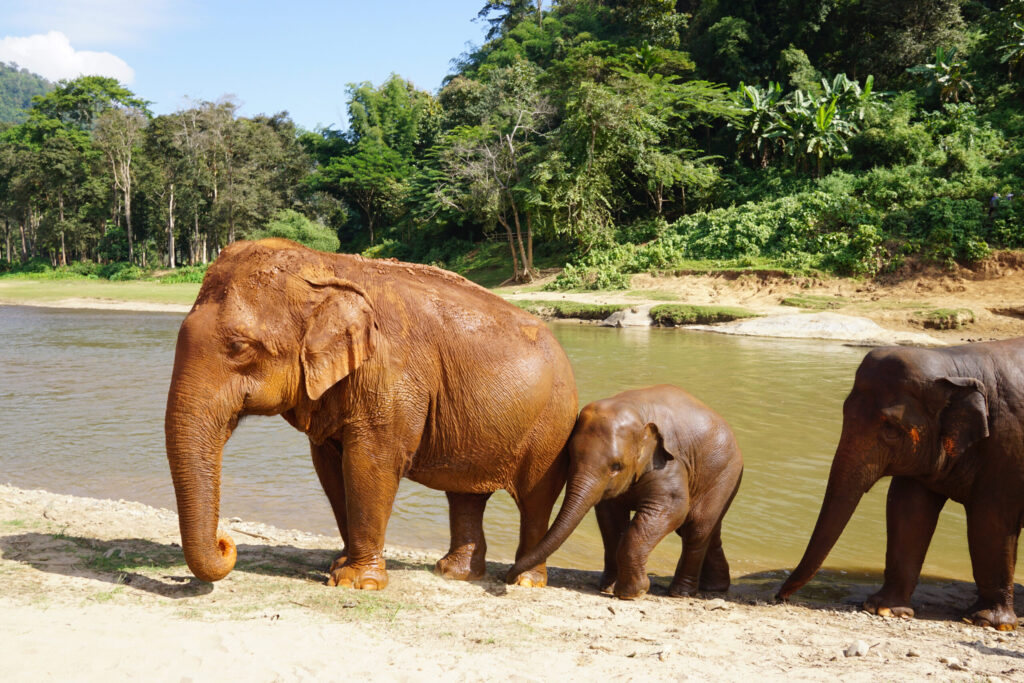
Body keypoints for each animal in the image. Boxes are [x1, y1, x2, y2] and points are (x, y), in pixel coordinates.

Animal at [164, 238, 578, 590]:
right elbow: (331, 468)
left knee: (534, 498)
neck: (325, 266)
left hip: (552, 423)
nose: (225, 542)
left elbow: (370, 463)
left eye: (240, 347)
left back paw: (524, 581)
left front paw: (354, 583)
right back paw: (452, 573)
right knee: (465, 495)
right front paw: (339, 566)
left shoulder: (392, 376)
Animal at [505, 385, 744, 599]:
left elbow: (673, 510)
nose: (508, 577)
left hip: (725, 472)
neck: (636, 410)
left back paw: (681, 593)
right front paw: (608, 588)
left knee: (696, 528)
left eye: (616, 466)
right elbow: (611, 519)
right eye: (570, 456)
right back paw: (715, 587)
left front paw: (632, 593)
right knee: (706, 529)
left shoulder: (670, 463)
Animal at [777, 340, 1024, 630]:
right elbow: (907, 511)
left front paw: (988, 622)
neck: (957, 366)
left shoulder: (1008, 448)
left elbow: (990, 522)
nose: (780, 596)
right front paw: (884, 609)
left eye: (891, 429)